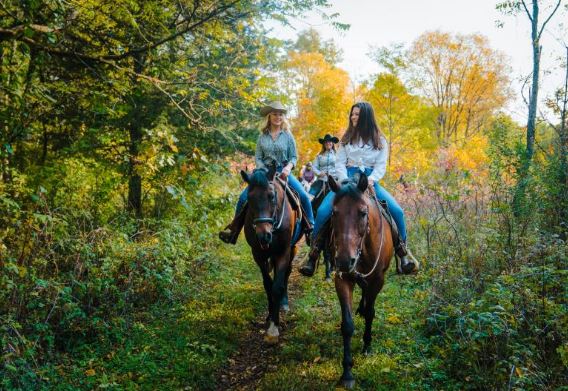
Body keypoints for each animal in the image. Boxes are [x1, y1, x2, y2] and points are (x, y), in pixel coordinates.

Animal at [240, 167, 300, 344]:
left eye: (271, 196)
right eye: (249, 198)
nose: (264, 235)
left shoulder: (283, 252)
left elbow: (277, 287)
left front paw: (274, 329)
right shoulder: (258, 254)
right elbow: (268, 284)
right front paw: (269, 316)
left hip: (292, 249)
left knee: (287, 273)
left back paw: (284, 303)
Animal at [326, 172, 392, 388]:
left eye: (363, 213)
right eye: (334, 213)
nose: (345, 260)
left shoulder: (378, 280)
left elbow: (371, 313)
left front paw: (367, 346)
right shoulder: (343, 279)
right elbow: (347, 325)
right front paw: (347, 372)